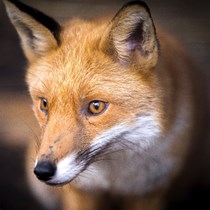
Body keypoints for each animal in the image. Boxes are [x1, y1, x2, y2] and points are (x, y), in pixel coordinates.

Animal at [3, 0, 208, 210]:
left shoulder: (150, 192)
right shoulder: (82, 191)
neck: (115, 178)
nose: (43, 171)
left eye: (96, 106)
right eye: (44, 104)